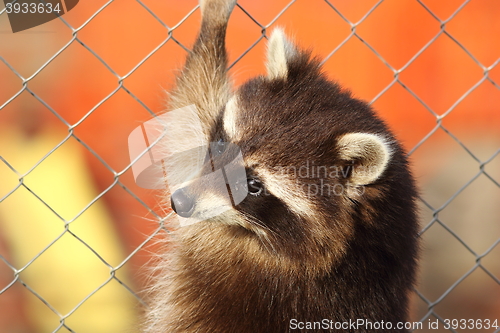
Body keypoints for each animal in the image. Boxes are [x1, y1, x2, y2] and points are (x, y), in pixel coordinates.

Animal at [143, 0, 420, 332]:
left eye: (253, 185)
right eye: (222, 145)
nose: (181, 202)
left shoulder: (223, 249)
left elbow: (188, 118)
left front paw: (213, 26)